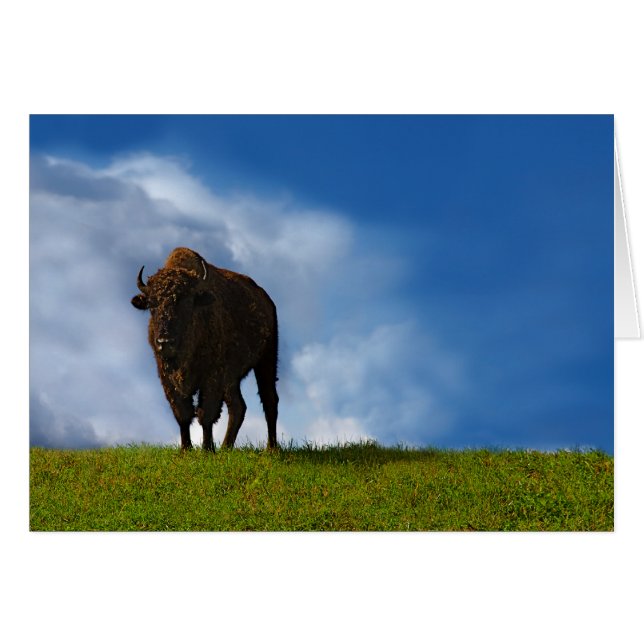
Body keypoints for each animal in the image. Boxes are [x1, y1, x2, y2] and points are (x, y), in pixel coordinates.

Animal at [131, 247, 279, 451]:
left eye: (186, 302)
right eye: (152, 305)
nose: (165, 342)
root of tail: (267, 300)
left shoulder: (212, 377)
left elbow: (205, 413)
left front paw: (207, 449)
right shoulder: (168, 379)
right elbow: (183, 414)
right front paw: (186, 449)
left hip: (266, 359)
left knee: (269, 399)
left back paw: (271, 449)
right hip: (232, 379)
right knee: (238, 407)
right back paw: (226, 447)